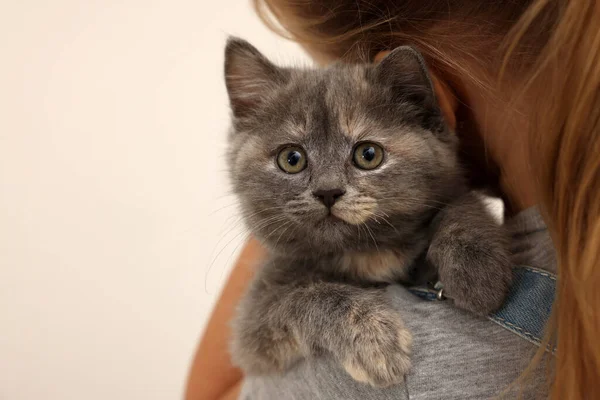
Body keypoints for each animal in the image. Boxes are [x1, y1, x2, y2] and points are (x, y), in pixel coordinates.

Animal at [224, 37, 510, 388]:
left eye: (368, 154)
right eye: (291, 159)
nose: (328, 191)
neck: (366, 253)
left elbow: (459, 205)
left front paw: (477, 270)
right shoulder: (253, 323)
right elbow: (304, 295)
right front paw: (372, 340)